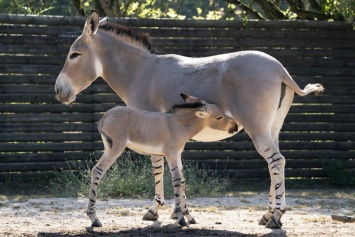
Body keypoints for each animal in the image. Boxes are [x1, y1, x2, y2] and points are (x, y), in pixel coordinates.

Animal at [87, 93, 239, 229]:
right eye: (219, 117)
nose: (236, 127)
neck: (178, 125)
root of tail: (104, 117)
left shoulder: (177, 154)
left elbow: (182, 181)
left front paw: (189, 216)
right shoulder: (170, 154)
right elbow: (177, 180)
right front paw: (181, 218)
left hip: (109, 148)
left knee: (96, 170)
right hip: (116, 148)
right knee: (98, 170)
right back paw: (94, 219)